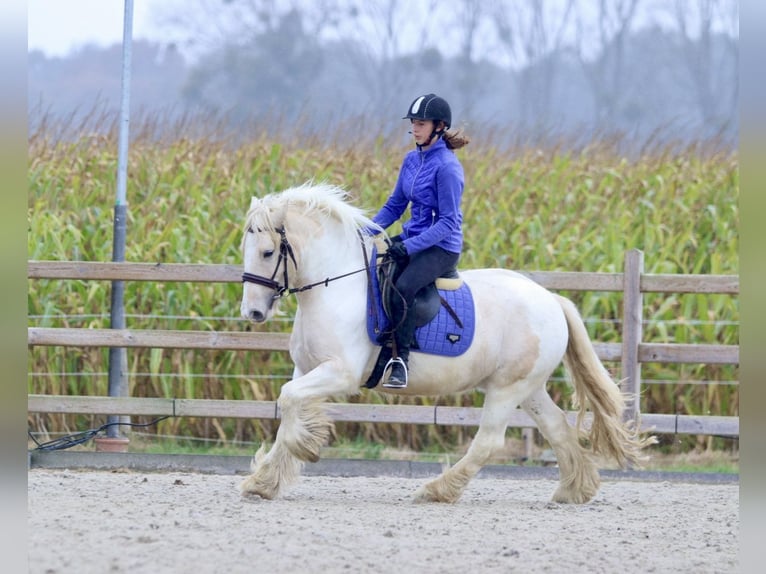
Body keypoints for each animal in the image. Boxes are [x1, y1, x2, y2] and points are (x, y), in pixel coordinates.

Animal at [238, 183, 656, 504]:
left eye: (268, 252)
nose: (253, 313)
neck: (337, 287)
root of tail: (552, 300)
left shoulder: (341, 373)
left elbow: (289, 400)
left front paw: (302, 450)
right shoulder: (307, 369)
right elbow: (289, 404)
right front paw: (265, 480)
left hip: (507, 388)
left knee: (489, 441)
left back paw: (437, 490)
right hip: (530, 388)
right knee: (557, 428)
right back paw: (574, 491)